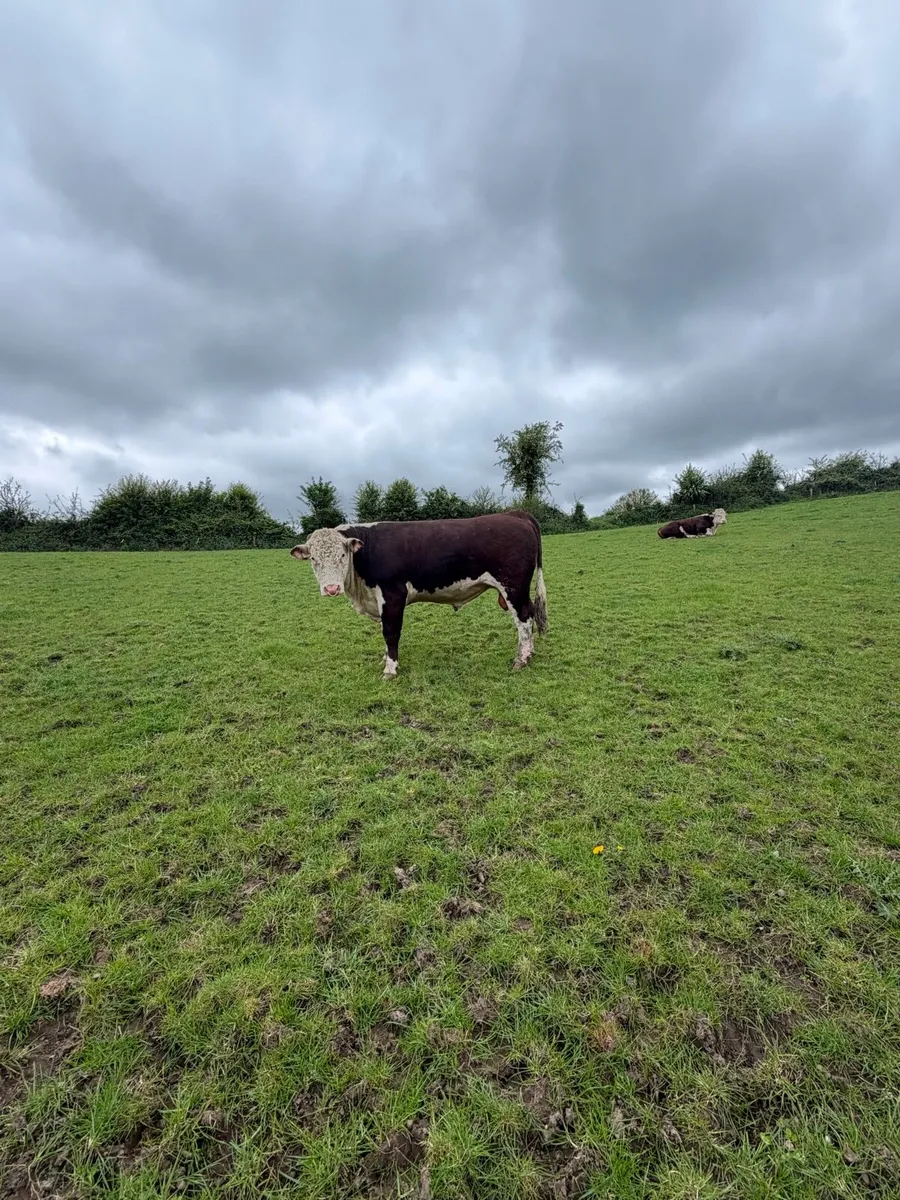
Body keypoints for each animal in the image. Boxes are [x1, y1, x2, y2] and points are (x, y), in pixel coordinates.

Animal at [290, 511, 548, 678]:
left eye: (342, 556)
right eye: (314, 559)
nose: (331, 589)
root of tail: (514, 513)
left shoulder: (393, 595)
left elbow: (390, 632)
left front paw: (390, 669)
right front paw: (386, 659)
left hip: (513, 586)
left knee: (524, 618)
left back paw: (521, 659)